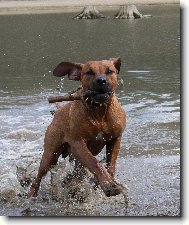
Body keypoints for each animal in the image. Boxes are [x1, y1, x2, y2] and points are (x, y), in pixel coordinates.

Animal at [28, 57, 126, 197]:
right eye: (89, 72)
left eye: (109, 71)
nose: (101, 81)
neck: (99, 113)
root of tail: (59, 111)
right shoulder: (77, 143)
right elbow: (94, 163)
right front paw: (107, 184)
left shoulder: (115, 138)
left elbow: (110, 165)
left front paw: (106, 181)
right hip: (50, 153)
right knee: (39, 175)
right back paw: (32, 194)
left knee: (79, 170)